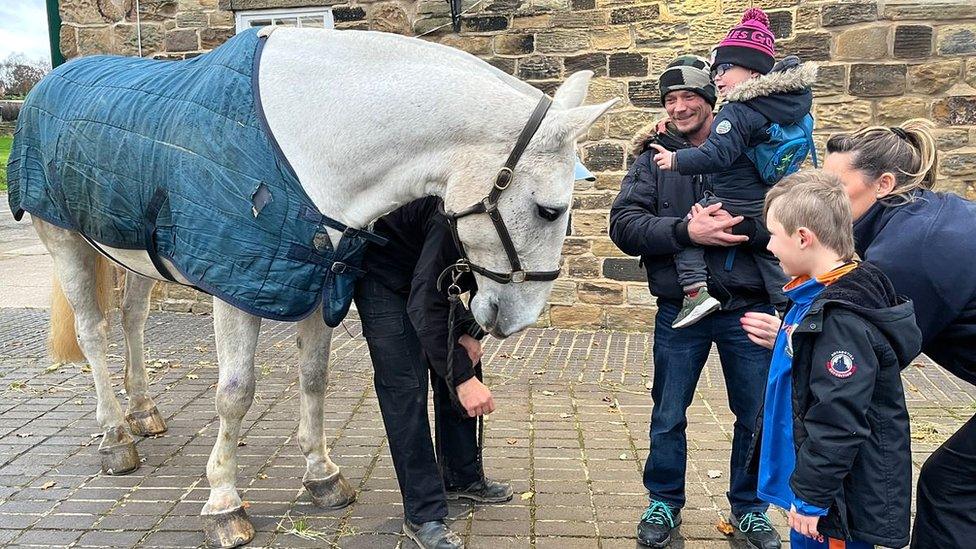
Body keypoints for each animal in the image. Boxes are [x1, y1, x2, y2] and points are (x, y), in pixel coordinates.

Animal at [32, 27, 616, 544]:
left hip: (131, 256)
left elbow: (313, 378)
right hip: (64, 241)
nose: (519, 318)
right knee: (93, 334)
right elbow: (235, 394)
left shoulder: (319, 281)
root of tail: (50, 80)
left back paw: (143, 413)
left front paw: (322, 475)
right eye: (549, 210)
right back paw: (115, 438)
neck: (308, 148)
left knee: (133, 321)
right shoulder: (235, 288)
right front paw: (224, 501)